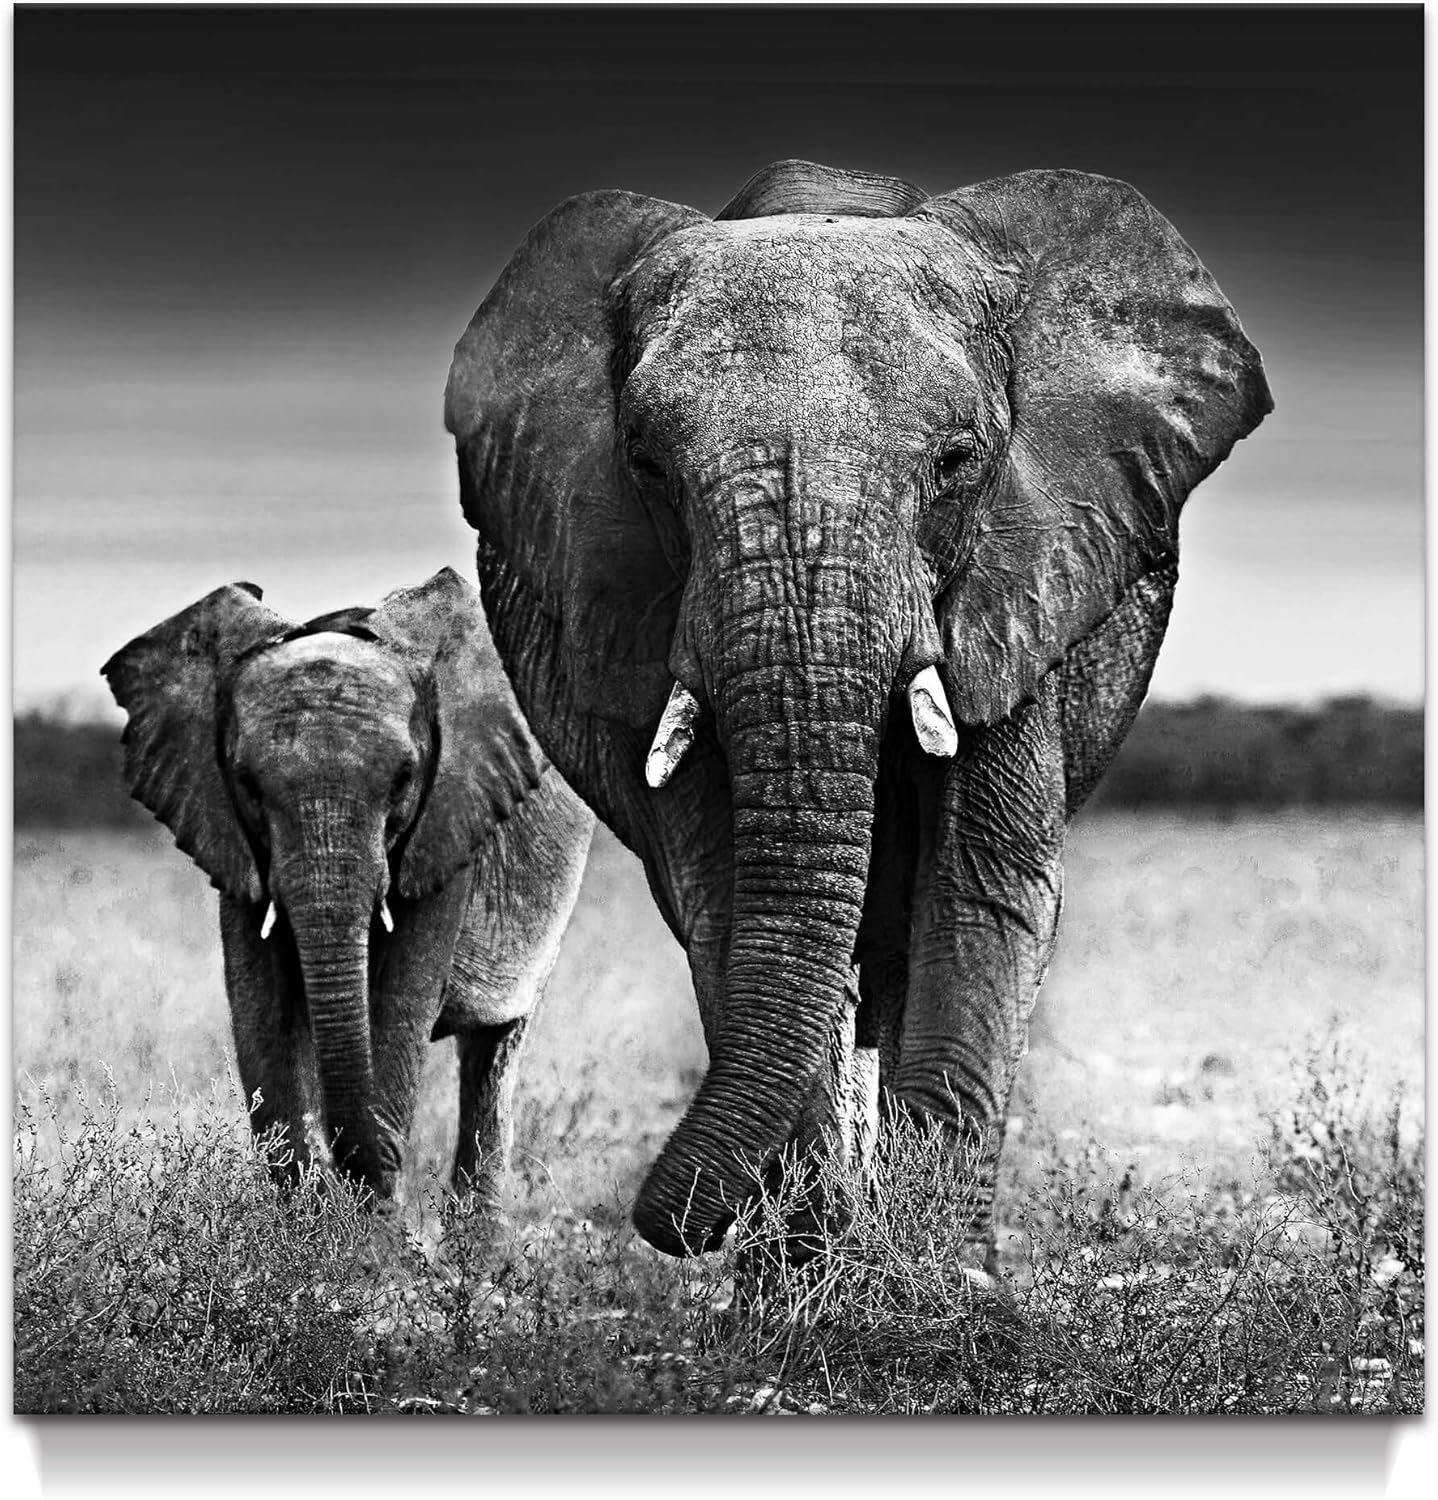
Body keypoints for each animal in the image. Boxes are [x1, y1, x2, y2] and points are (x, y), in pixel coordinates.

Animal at [102, 567, 595, 1210]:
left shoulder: (448, 823)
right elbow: (263, 1012)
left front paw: (369, 1230)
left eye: (406, 779)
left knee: (494, 1050)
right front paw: (314, 1223)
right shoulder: (233, 840)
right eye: (247, 785)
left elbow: (397, 1007)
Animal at [443, 158, 1272, 1264]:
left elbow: (980, 891)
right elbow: (727, 901)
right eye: (648, 466)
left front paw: (930, 1283)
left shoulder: (1024, 575)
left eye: (957, 462)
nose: (670, 1228)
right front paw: (815, 1273)